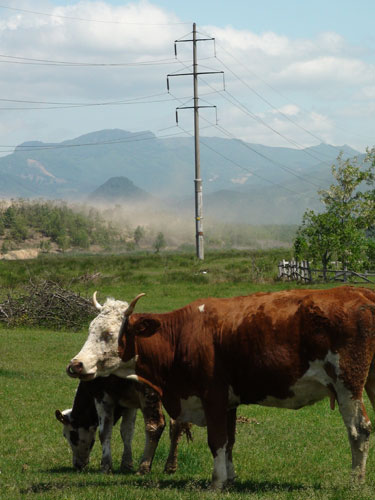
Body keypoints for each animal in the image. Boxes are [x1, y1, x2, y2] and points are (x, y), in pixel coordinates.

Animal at [68, 290, 375, 488]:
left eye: (109, 334)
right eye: (90, 329)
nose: (76, 364)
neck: (182, 336)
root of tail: (360, 293)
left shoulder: (212, 396)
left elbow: (216, 440)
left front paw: (216, 483)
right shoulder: (228, 401)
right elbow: (229, 441)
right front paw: (230, 478)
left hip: (348, 385)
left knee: (359, 430)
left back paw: (356, 482)